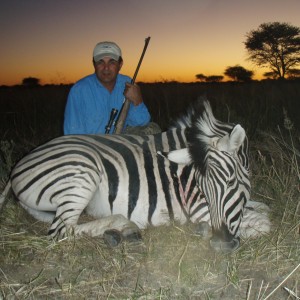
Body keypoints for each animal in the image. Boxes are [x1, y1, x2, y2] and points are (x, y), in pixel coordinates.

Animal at [0, 100, 270, 251]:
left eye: (232, 181)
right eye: (201, 188)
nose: (221, 244)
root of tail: (16, 168)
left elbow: (264, 208)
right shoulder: (197, 207)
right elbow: (265, 222)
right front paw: (206, 229)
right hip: (82, 171)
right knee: (62, 231)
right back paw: (122, 229)